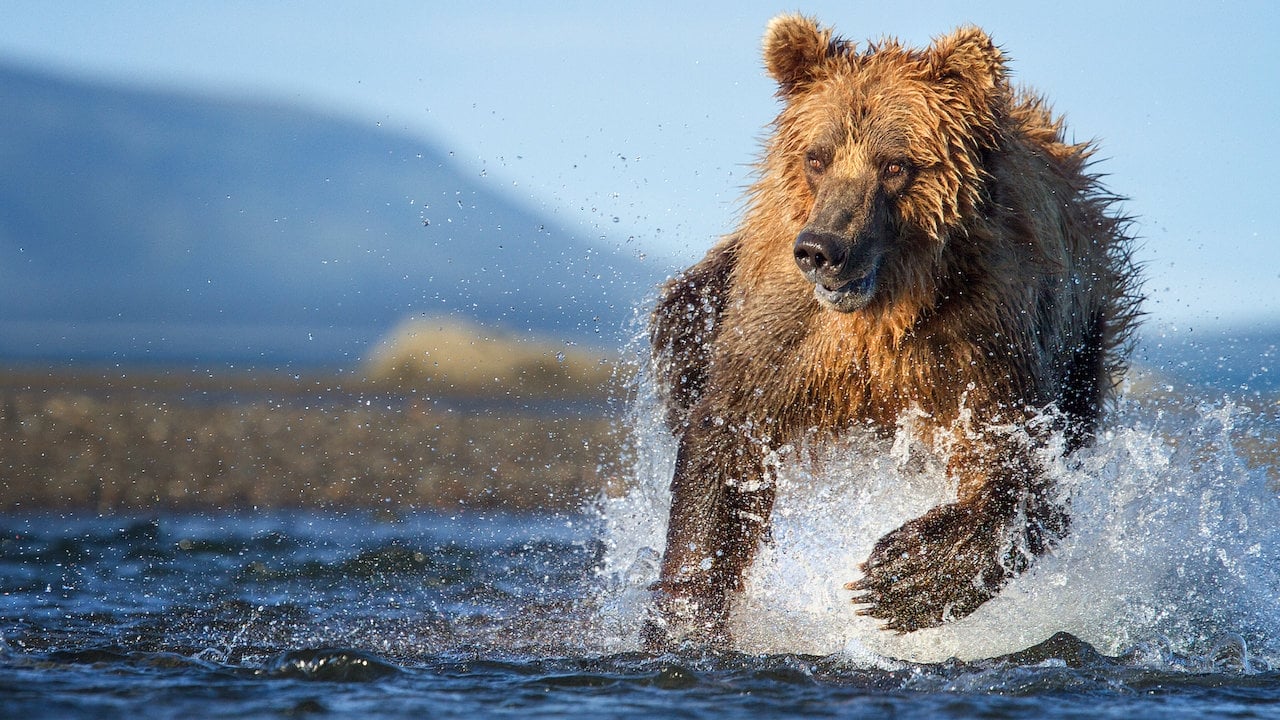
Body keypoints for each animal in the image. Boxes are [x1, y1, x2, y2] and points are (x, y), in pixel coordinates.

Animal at [645, 14, 1146, 648]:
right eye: (818, 157)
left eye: (894, 164)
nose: (822, 249)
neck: (884, 311)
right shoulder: (789, 331)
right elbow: (728, 441)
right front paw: (686, 620)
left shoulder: (984, 336)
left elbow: (1021, 463)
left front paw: (901, 577)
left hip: (1081, 340)